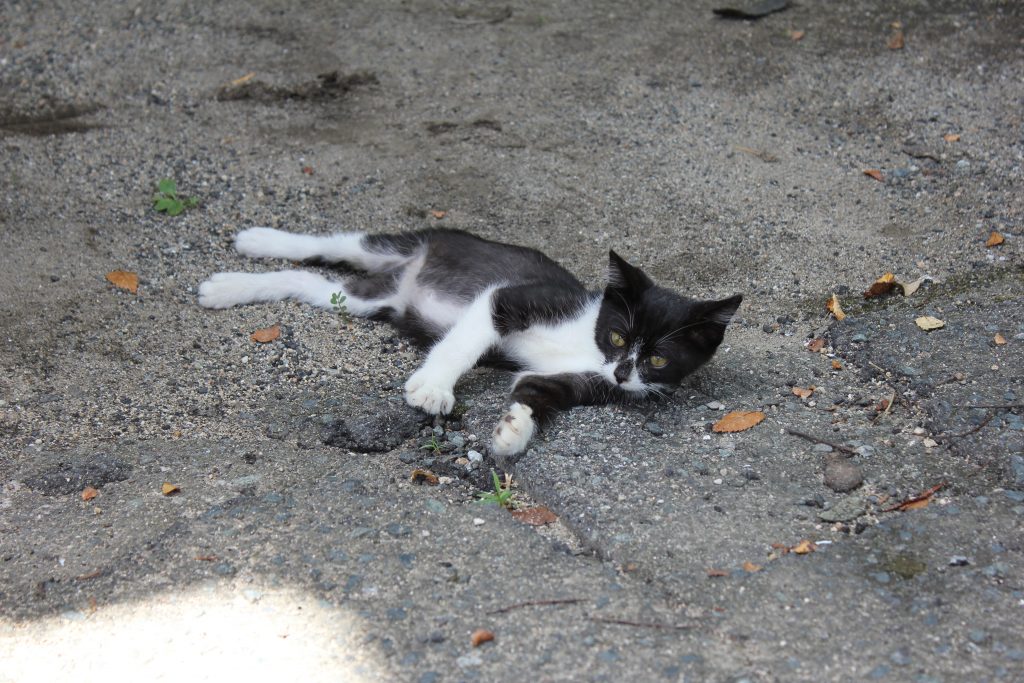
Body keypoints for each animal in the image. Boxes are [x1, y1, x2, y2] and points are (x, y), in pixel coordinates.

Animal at [197, 229, 745, 458]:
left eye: (657, 358)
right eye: (617, 335)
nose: (623, 373)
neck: (588, 343)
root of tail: (405, 274)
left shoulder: (582, 381)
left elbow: (537, 393)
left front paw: (513, 433)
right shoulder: (511, 299)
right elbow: (462, 342)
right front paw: (434, 389)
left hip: (368, 300)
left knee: (310, 282)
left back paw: (229, 286)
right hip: (414, 242)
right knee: (333, 243)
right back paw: (256, 242)